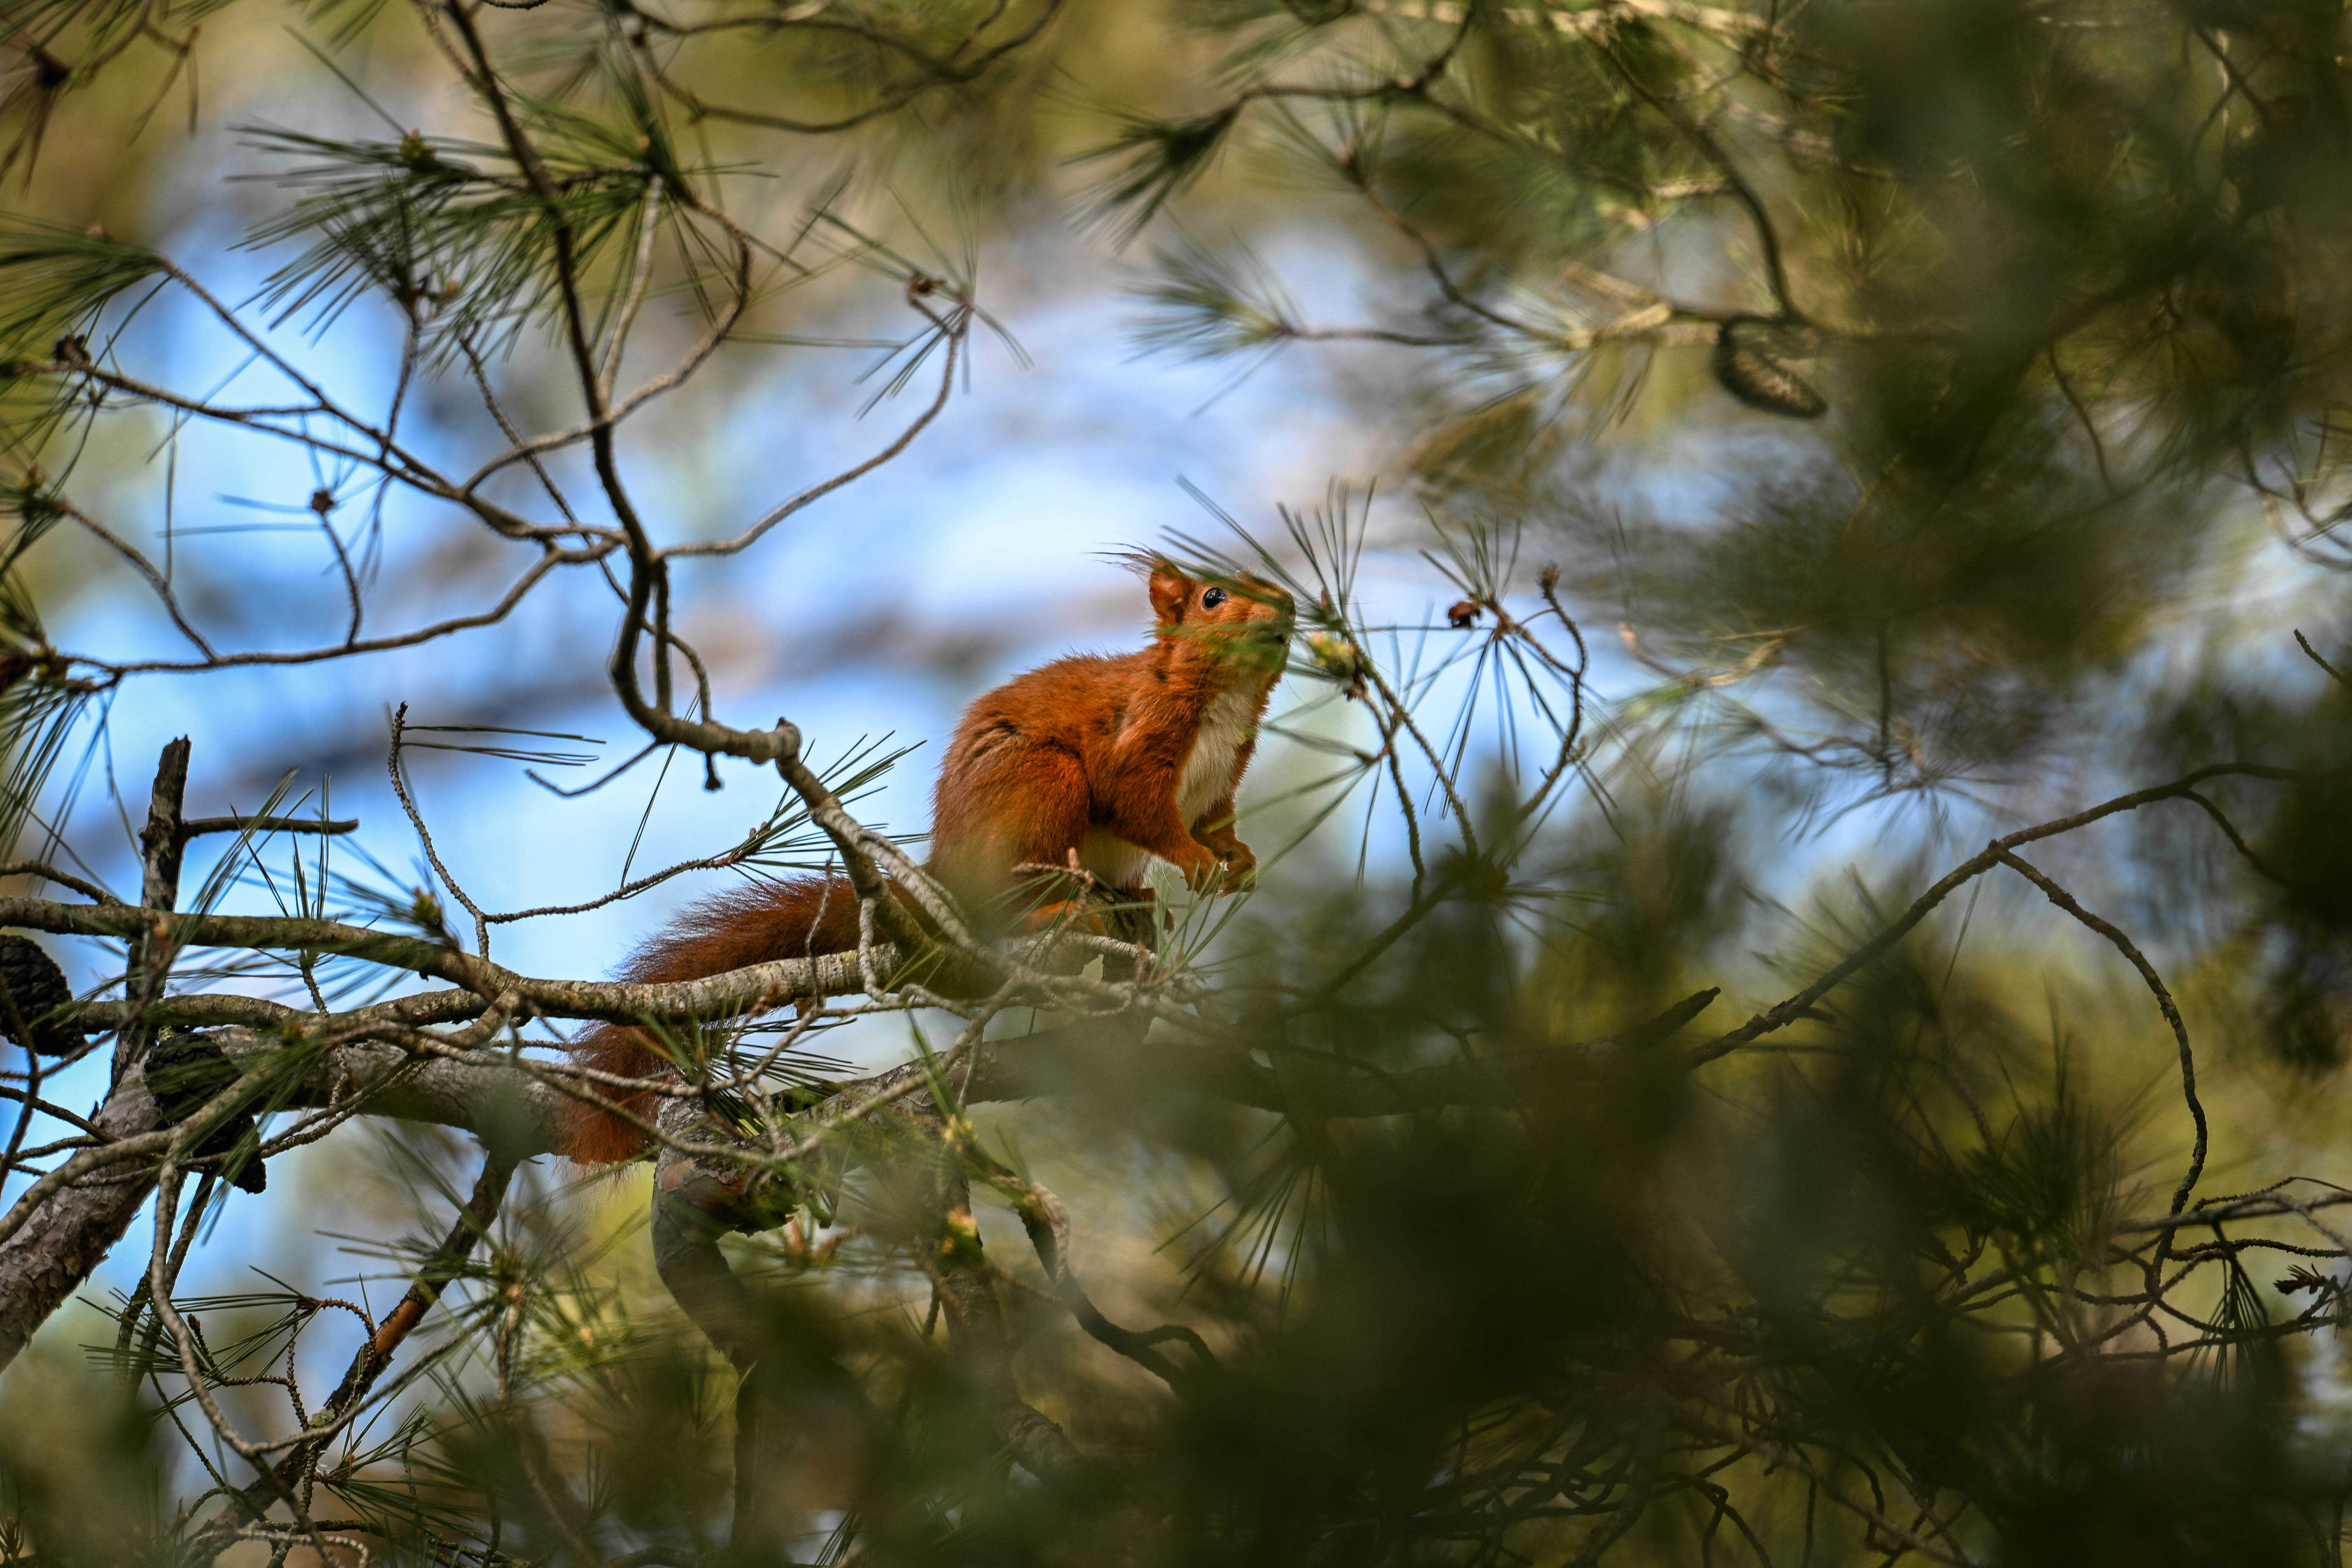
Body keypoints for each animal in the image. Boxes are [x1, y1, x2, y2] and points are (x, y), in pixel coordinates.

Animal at [558, 557, 1295, 1164]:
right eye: (1213, 596)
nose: (1290, 605)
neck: (1223, 700)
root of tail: (944, 876)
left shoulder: (1221, 781)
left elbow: (1216, 822)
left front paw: (1238, 861)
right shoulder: (1134, 741)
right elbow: (1141, 810)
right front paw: (1194, 860)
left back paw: (1134, 904)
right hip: (1043, 782)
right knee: (1008, 905)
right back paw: (1061, 913)